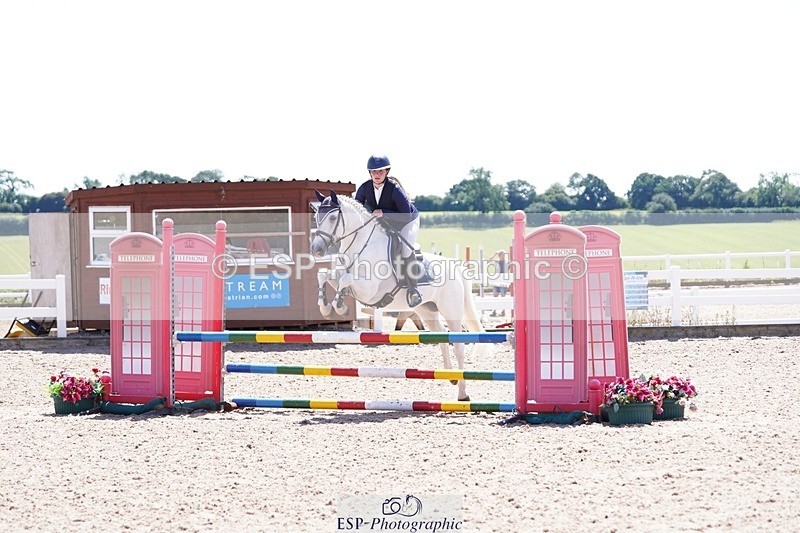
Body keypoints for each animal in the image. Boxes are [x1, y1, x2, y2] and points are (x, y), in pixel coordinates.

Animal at [310, 190, 487, 401]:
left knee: (458, 346)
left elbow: (345, 279)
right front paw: (327, 307)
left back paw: (462, 393)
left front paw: (339, 306)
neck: (361, 245)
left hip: (451, 310)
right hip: (427, 310)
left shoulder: (369, 289)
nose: (316, 249)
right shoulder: (345, 279)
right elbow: (324, 275)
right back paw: (450, 377)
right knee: (442, 338)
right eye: (316, 217)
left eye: (333, 218)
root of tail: (455, 266)